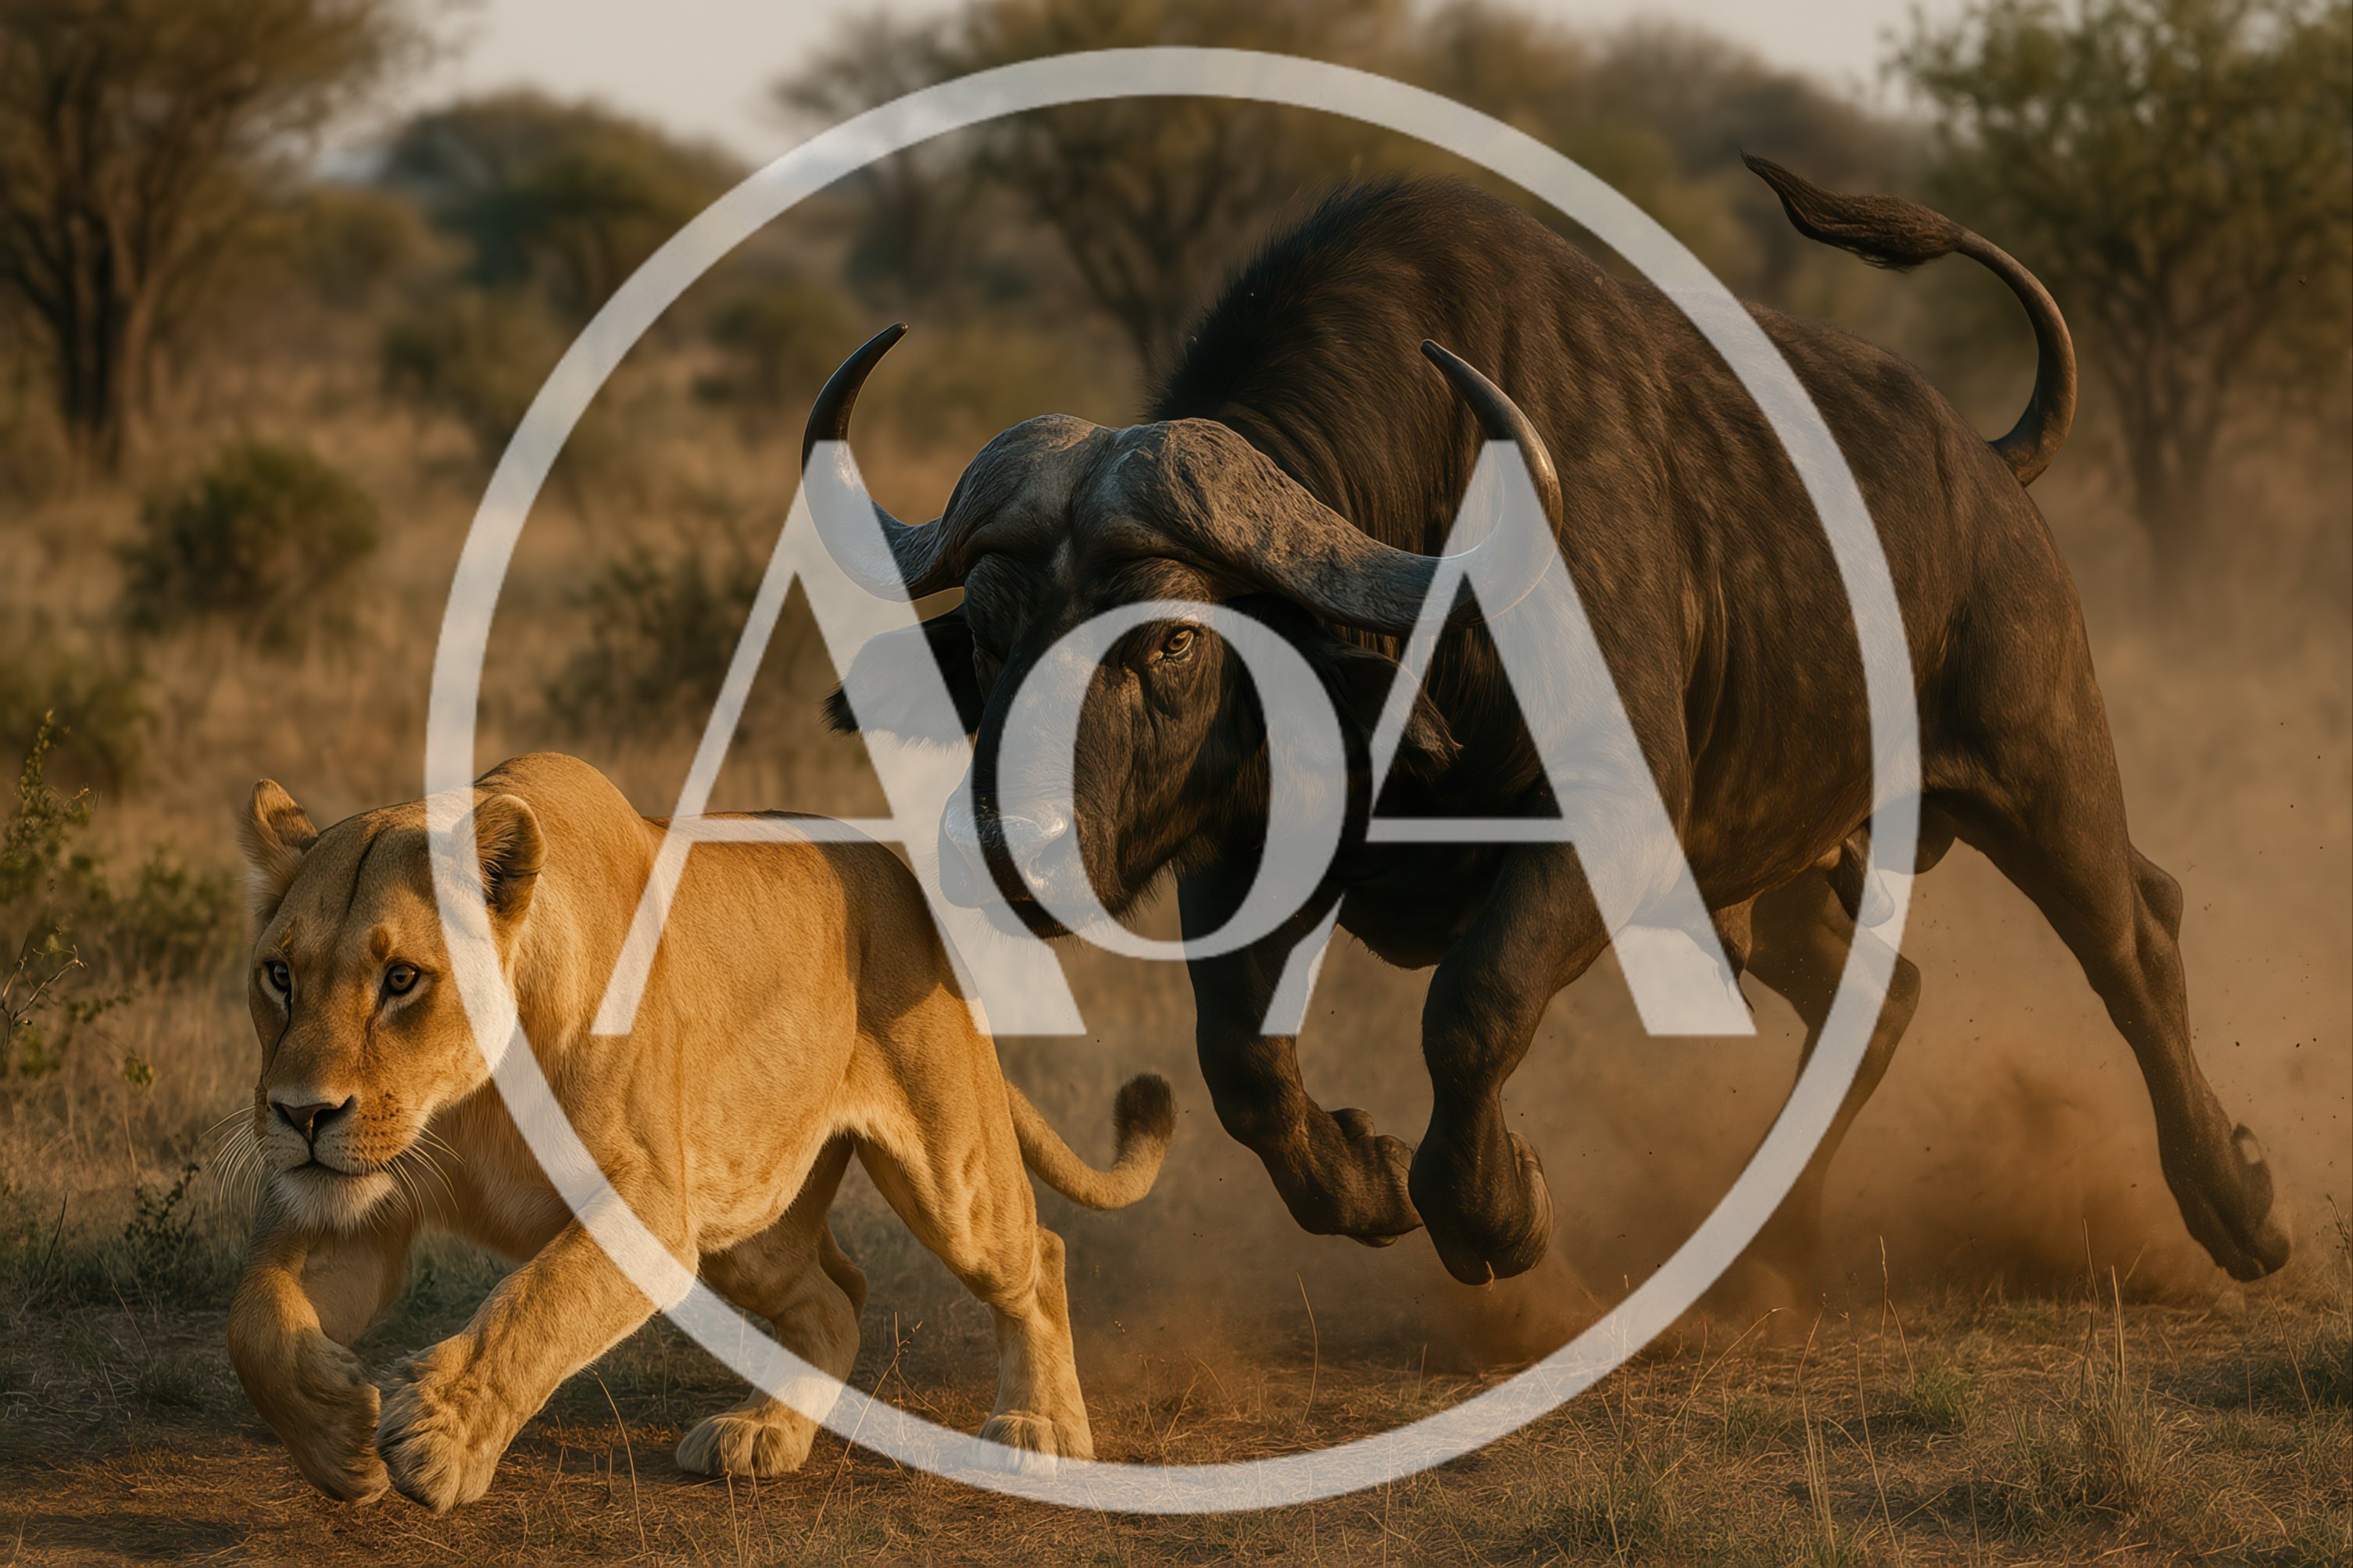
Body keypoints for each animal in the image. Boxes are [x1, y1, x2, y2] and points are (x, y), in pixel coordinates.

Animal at [225, 751, 1173, 1512]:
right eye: (278, 975)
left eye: (401, 979)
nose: (302, 1114)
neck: (469, 1097)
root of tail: (900, 877)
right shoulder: (354, 1201)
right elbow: (257, 1315)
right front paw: (335, 1430)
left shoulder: (648, 1202)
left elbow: (535, 1304)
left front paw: (436, 1438)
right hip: (745, 1221)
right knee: (835, 1299)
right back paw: (764, 1435)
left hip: (948, 1177)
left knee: (1035, 1255)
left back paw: (1038, 1427)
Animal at [803, 160, 2290, 1296]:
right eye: (993, 630)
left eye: (1168, 637)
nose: (1004, 846)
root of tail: (1988, 465)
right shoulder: (1242, 844)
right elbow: (1241, 1064)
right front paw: (1363, 1177)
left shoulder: (1606, 832)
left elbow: (1471, 1008)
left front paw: (1496, 1206)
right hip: (1767, 873)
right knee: (1880, 997)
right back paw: (1767, 1256)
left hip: (2038, 765)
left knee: (2132, 937)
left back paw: (2234, 1204)